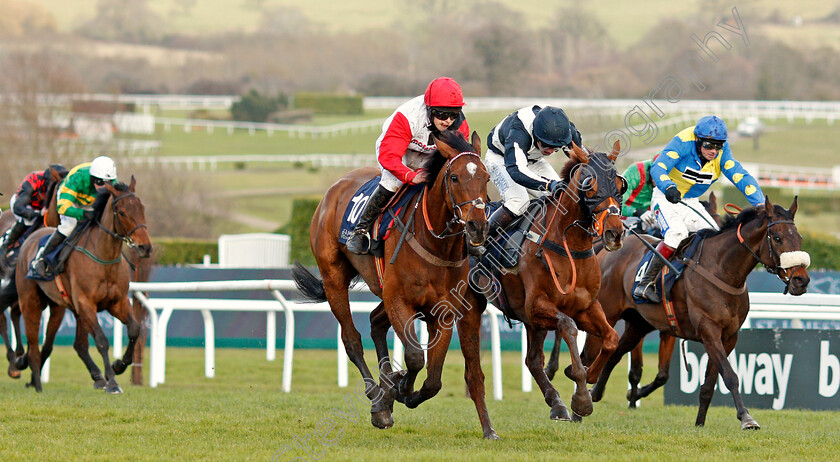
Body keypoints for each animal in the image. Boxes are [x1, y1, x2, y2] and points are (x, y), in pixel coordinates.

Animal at [15, 175, 153, 392]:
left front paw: (119, 365)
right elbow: (102, 341)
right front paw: (112, 382)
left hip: (61, 307)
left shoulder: (118, 302)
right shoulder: (86, 303)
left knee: (68, 345)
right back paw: (36, 381)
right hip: (30, 302)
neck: (104, 257)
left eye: (142, 208)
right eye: (122, 212)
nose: (145, 247)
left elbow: (134, 329)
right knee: (34, 343)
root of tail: (31, 238)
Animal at [292, 131, 496, 440]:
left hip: (382, 292)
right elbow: (414, 357)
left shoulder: (444, 311)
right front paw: (399, 387)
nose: (477, 227)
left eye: (486, 177)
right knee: (351, 339)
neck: (434, 242)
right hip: (334, 277)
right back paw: (377, 397)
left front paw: (402, 389)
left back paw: (385, 395)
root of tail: (334, 189)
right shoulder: (400, 301)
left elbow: (434, 378)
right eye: (455, 177)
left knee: (376, 323)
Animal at [472, 143, 624, 420]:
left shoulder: (586, 306)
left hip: (532, 323)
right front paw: (581, 397)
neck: (568, 246)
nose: (614, 233)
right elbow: (568, 326)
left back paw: (557, 404)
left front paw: (584, 379)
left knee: (532, 360)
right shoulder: (537, 306)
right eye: (590, 185)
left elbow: (611, 339)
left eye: (620, 185)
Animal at [588, 196, 812, 430]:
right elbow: (730, 376)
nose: (801, 280)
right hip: (607, 313)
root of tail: (609, 248)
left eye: (799, 237)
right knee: (591, 354)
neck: (722, 271)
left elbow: (709, 384)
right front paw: (746, 417)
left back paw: (596, 393)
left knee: (616, 353)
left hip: (639, 324)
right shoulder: (709, 331)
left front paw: (700, 423)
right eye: (777, 238)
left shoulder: (728, 336)